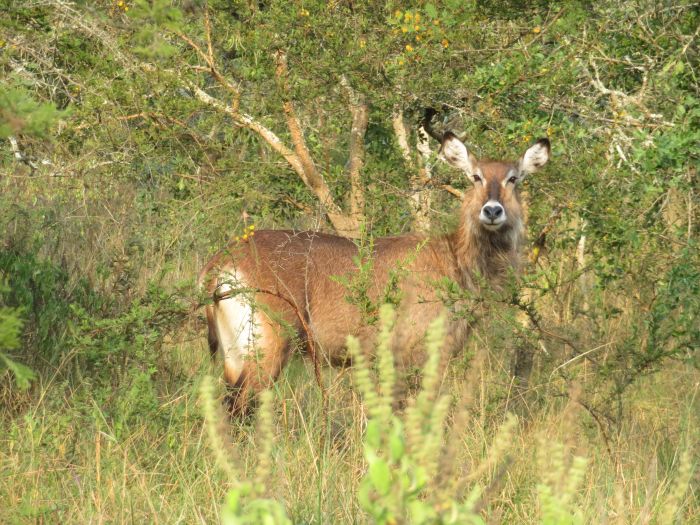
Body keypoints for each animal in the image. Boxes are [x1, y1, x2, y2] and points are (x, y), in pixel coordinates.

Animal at [196, 132, 548, 414]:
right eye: (475, 176)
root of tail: (219, 263)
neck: (454, 260)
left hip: (234, 355)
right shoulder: (417, 357)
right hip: (266, 350)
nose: (492, 211)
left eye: (514, 178)